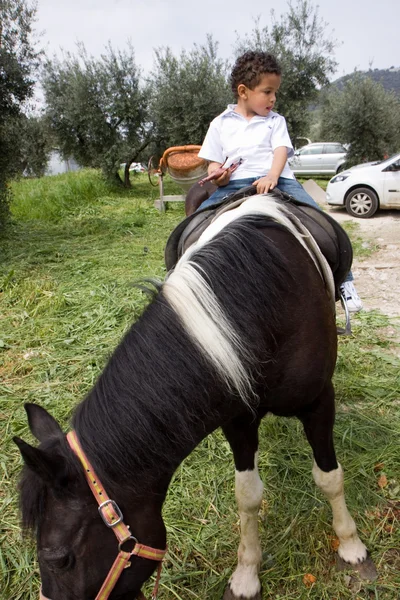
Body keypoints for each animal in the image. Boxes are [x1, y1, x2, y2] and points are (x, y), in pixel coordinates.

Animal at [13, 193, 376, 600]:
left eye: (60, 559)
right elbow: (247, 494)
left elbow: (330, 478)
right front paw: (246, 573)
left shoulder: (318, 402)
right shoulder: (237, 415)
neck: (263, 303)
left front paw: (351, 547)